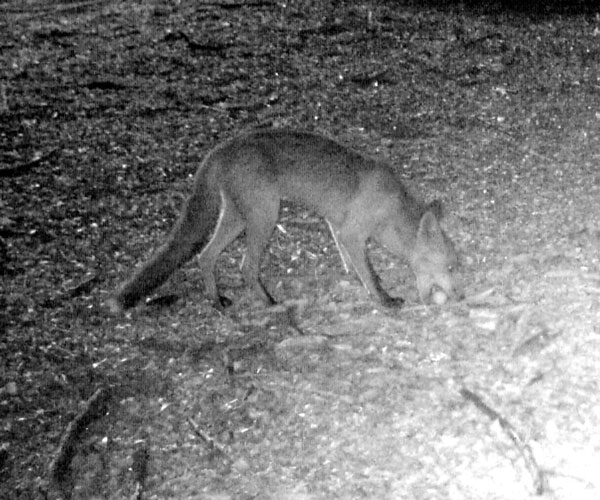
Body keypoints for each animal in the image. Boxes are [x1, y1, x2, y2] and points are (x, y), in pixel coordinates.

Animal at [105, 129, 460, 312]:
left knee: (205, 256)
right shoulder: (352, 231)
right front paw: (384, 300)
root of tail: (220, 150)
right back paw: (270, 303)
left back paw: (217, 301)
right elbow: (369, 274)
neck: (391, 208)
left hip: (238, 218)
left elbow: (351, 262)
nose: (462, 296)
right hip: (265, 217)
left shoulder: (337, 224)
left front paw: (352, 277)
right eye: (451, 267)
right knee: (245, 267)